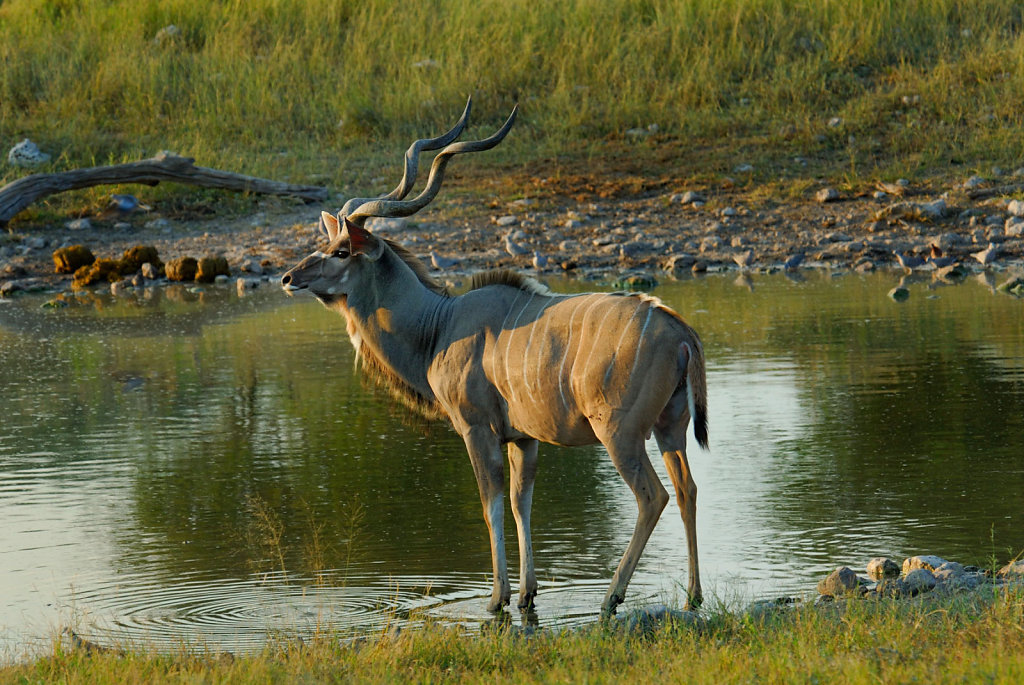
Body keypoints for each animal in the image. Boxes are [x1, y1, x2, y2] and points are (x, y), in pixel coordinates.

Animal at [284, 97, 708, 614]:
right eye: (326, 244)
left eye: (342, 251)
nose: (289, 277)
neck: (439, 326)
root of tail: (679, 330)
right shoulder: (523, 438)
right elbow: (521, 503)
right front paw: (527, 594)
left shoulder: (476, 428)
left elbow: (491, 505)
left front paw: (496, 600)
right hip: (670, 426)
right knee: (687, 489)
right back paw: (693, 596)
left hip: (620, 432)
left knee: (653, 497)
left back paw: (612, 597)